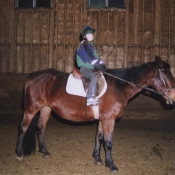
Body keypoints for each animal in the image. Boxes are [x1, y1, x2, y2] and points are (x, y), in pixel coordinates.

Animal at [15, 56, 175, 172]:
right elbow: (108, 142)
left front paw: (97, 159)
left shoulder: (103, 119)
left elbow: (99, 137)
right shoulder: (109, 120)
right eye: (166, 76)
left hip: (46, 108)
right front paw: (111, 165)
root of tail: (34, 75)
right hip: (31, 108)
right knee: (23, 128)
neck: (118, 86)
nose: (173, 97)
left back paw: (45, 151)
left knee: (41, 128)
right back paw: (19, 154)